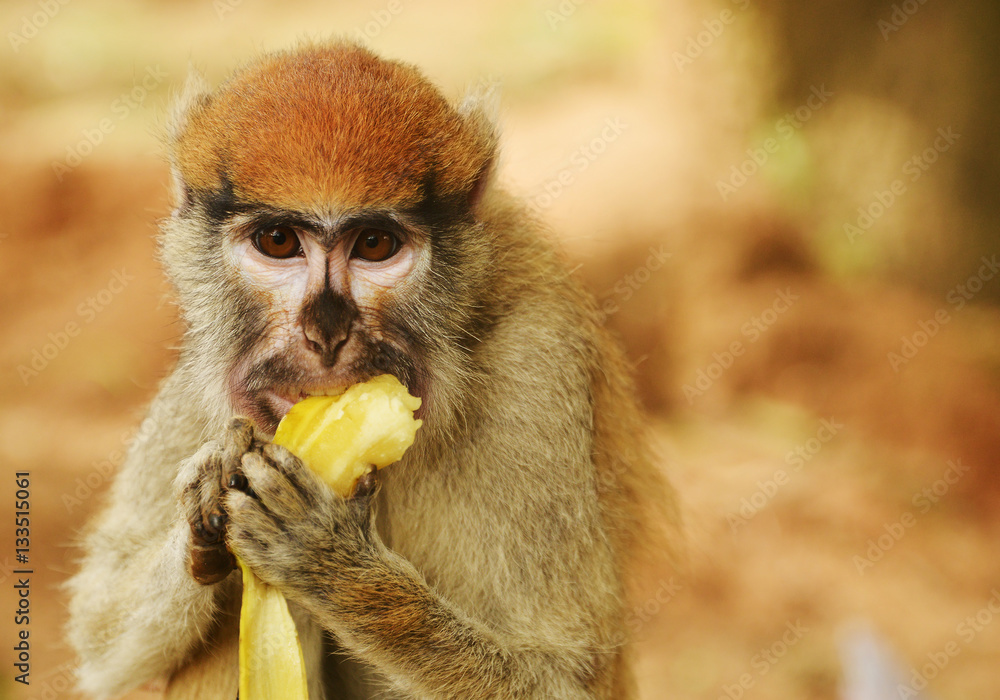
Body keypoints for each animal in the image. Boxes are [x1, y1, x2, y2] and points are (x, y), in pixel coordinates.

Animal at [65, 41, 674, 699]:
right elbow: (102, 640)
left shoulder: (537, 358)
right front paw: (207, 497)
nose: (326, 333)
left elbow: (561, 673)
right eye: (277, 240)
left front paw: (331, 561)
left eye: (376, 245)